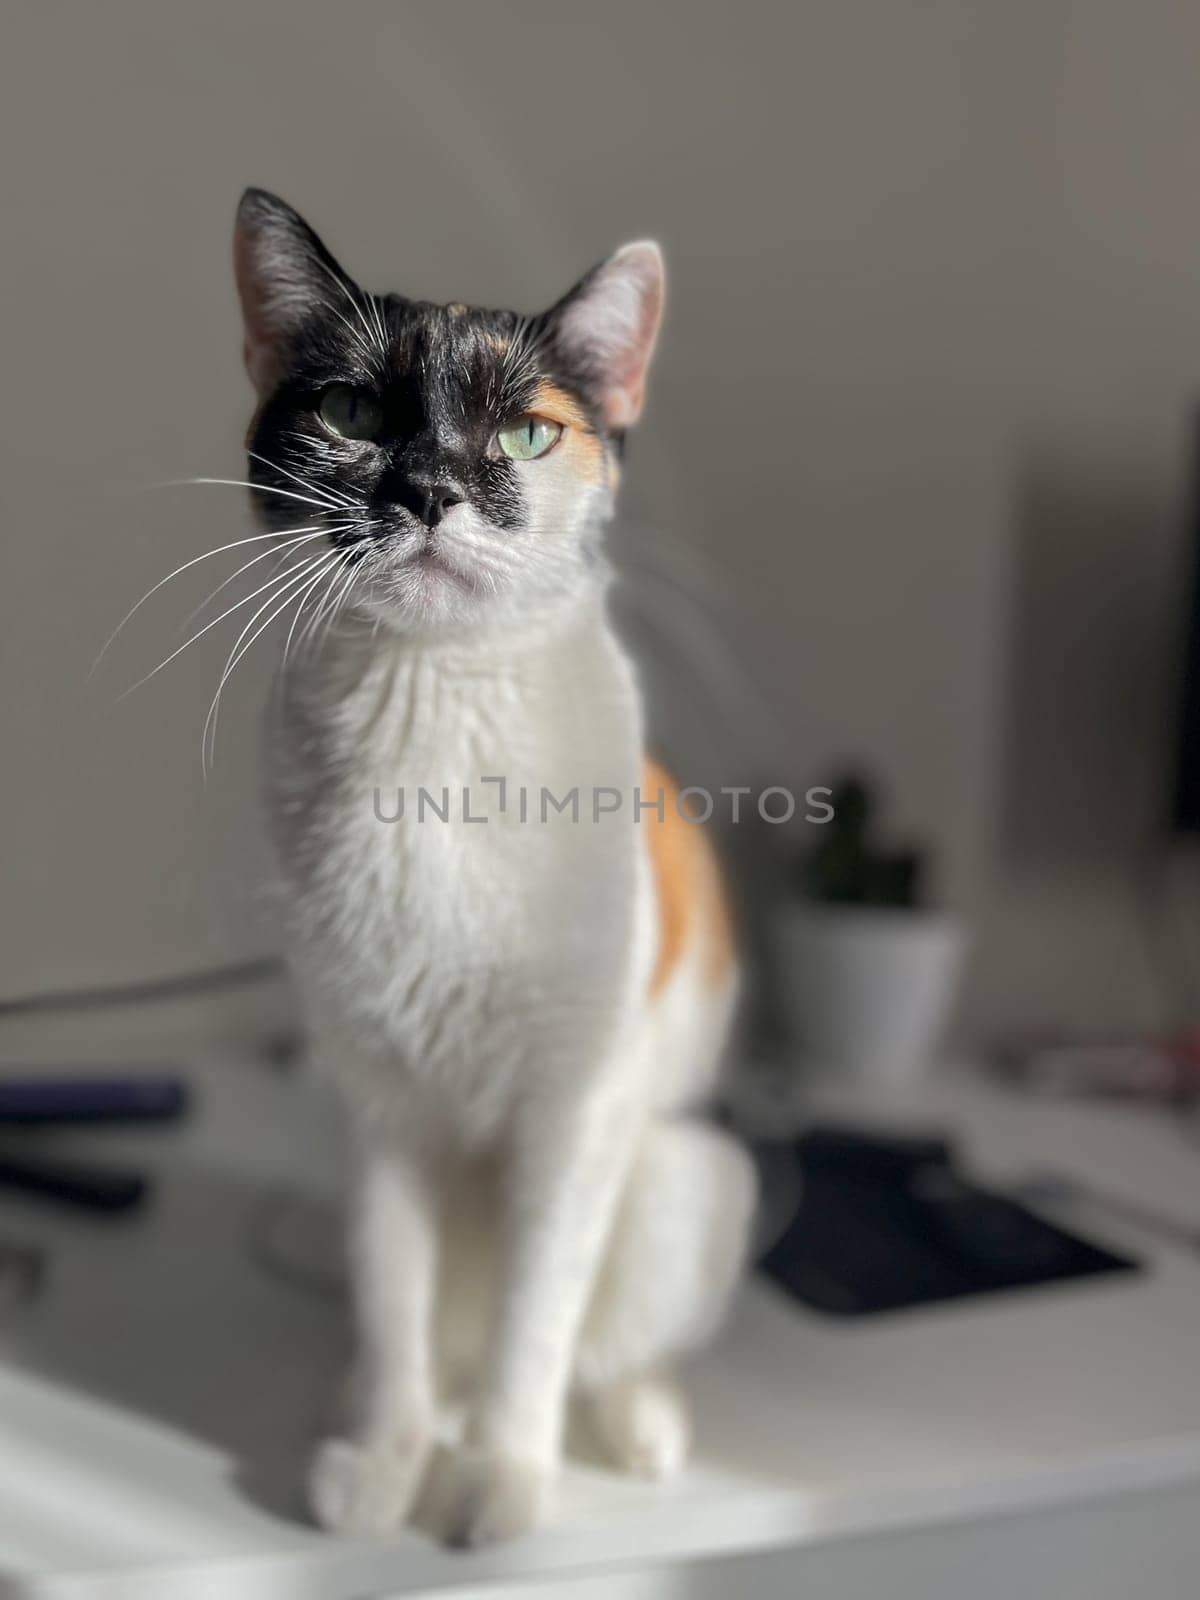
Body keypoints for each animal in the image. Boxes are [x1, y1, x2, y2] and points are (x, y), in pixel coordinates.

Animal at [233, 190, 755, 1548]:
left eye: (527, 432)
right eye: (357, 414)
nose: (426, 490)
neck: (433, 731)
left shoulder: (570, 1114)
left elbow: (539, 1321)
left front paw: (499, 1486)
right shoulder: (378, 1106)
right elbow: (392, 1301)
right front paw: (381, 1461)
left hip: (685, 1176)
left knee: (590, 1342)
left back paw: (634, 1427)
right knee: (426, 1335)